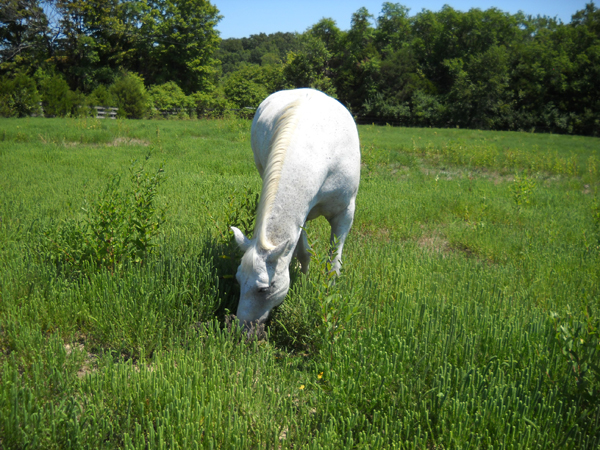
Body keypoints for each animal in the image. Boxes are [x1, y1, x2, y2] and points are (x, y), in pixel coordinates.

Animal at [230, 89, 360, 326]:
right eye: (238, 279)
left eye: (264, 289)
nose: (242, 328)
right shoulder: (301, 216)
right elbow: (304, 251)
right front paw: (305, 277)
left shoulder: (344, 213)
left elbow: (334, 265)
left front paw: (327, 293)